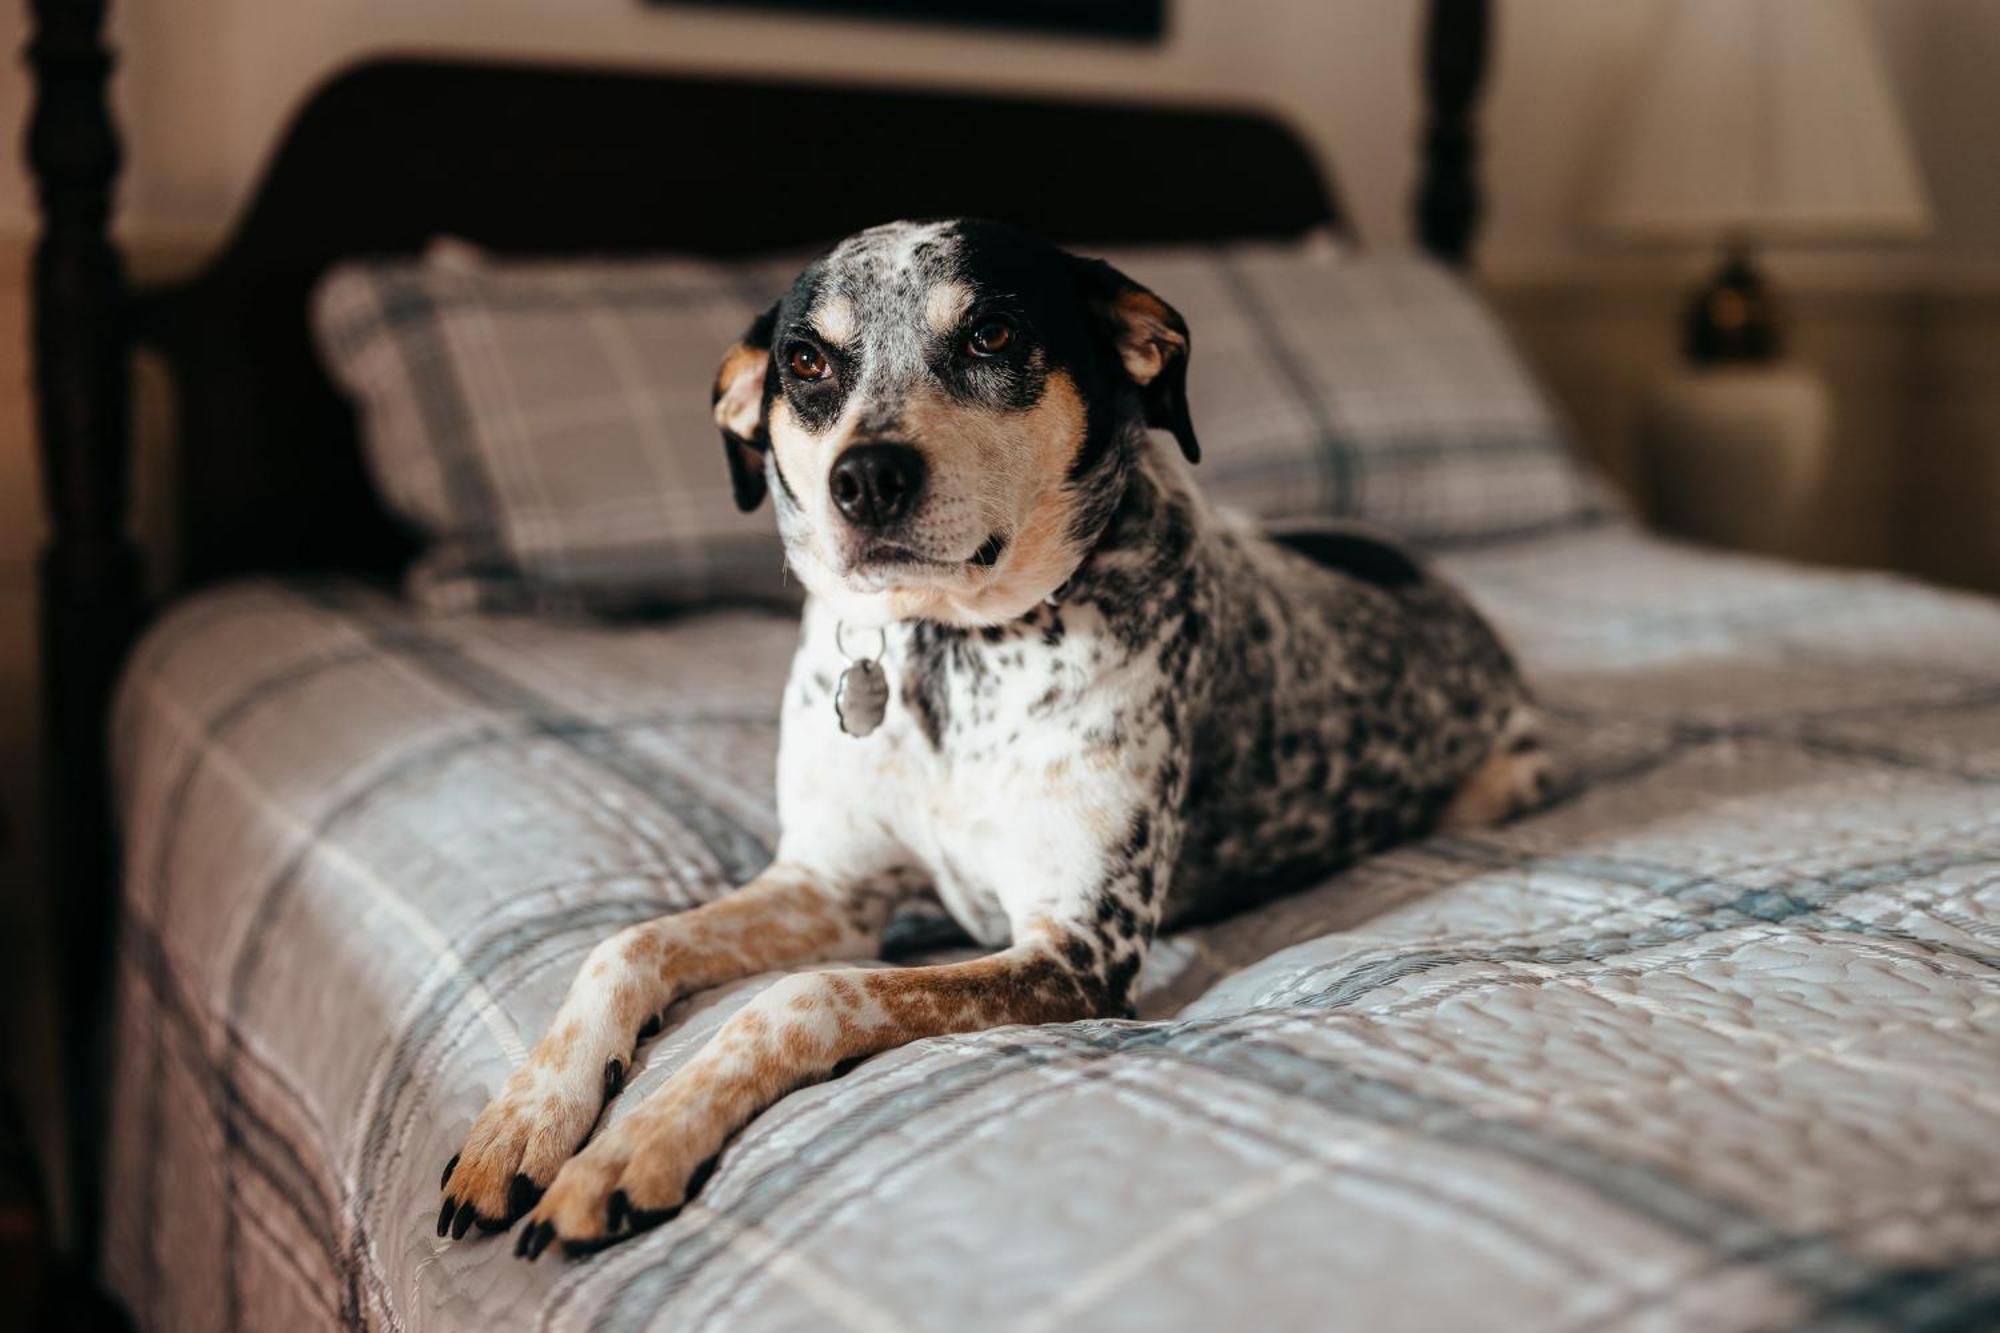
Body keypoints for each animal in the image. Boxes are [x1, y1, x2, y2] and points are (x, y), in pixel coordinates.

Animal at [438, 220, 1544, 1256]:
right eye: (807, 362)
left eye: (993, 333)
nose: (865, 479)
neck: (948, 654)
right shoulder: (827, 885)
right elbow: (625, 944)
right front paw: (523, 1124)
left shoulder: (1076, 948)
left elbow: (800, 996)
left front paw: (632, 1146)